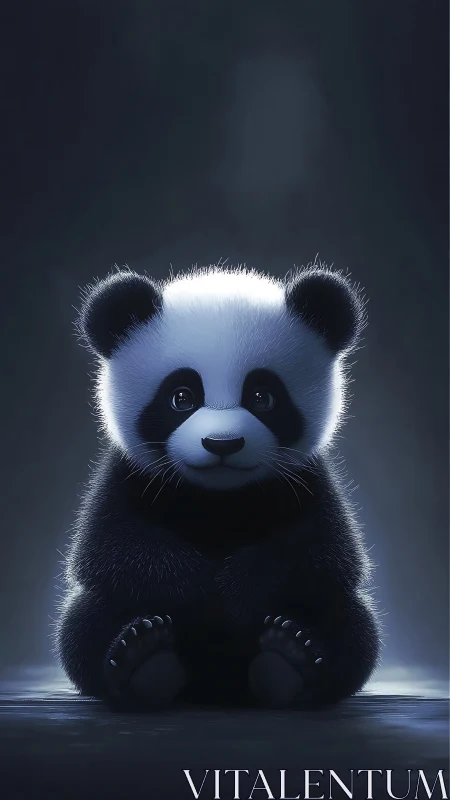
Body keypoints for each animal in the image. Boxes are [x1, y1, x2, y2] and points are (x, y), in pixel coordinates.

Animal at [55, 264, 381, 710]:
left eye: (262, 396)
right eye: (181, 397)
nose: (222, 443)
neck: (219, 498)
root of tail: (218, 686)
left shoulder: (305, 480)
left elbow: (321, 553)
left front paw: (236, 594)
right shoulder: (131, 476)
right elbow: (112, 549)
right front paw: (197, 594)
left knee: (353, 627)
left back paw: (288, 663)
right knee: (82, 624)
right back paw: (145, 661)